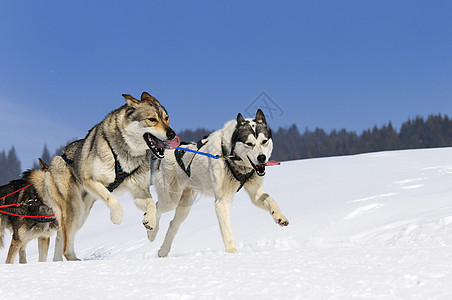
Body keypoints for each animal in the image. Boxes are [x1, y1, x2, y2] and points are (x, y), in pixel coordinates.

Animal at [150, 109, 288, 256]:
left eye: (264, 141)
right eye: (249, 144)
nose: (262, 158)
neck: (230, 156)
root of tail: (164, 153)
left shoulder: (254, 190)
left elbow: (271, 201)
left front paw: (280, 217)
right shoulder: (222, 202)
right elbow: (228, 232)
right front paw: (232, 253)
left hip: (185, 206)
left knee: (172, 225)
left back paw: (163, 251)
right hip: (171, 199)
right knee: (157, 206)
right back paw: (150, 227)